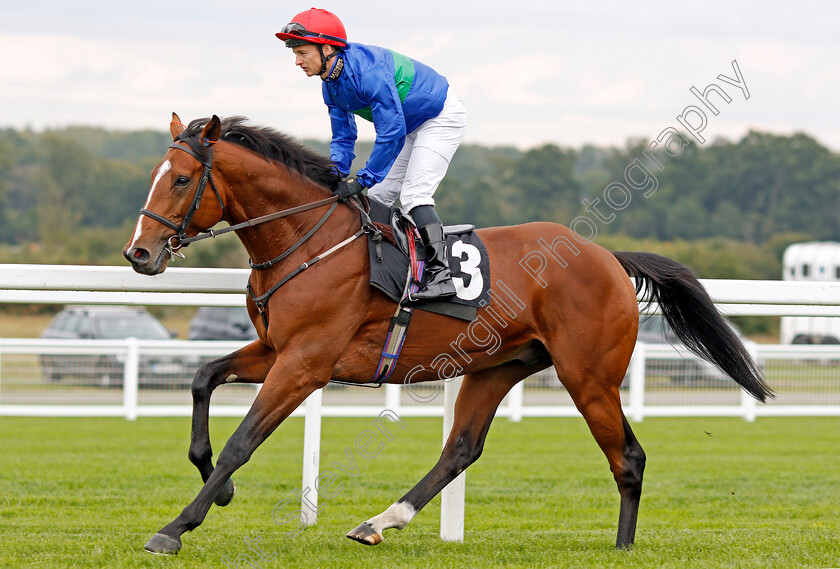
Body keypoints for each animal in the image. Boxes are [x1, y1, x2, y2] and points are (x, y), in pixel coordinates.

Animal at [121, 114, 772, 556]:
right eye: (155, 176)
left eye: (181, 179)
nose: (139, 254)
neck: (308, 240)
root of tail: (608, 256)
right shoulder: (276, 349)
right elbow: (203, 377)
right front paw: (218, 487)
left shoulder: (305, 362)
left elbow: (243, 441)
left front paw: (176, 527)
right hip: (498, 366)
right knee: (461, 448)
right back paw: (378, 522)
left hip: (587, 374)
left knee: (628, 456)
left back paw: (623, 546)